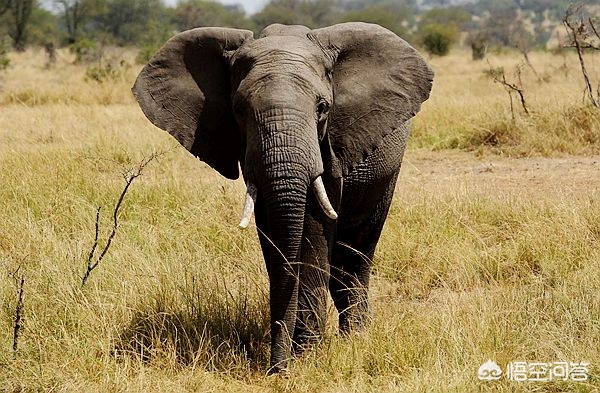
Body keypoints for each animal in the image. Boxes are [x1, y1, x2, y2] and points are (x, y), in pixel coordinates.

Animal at [132, 21, 432, 370]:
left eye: (322, 108)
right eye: (238, 111)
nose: (276, 369)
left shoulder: (328, 146)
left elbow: (314, 228)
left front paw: (307, 353)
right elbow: (273, 231)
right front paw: (298, 352)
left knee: (356, 251)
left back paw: (356, 338)